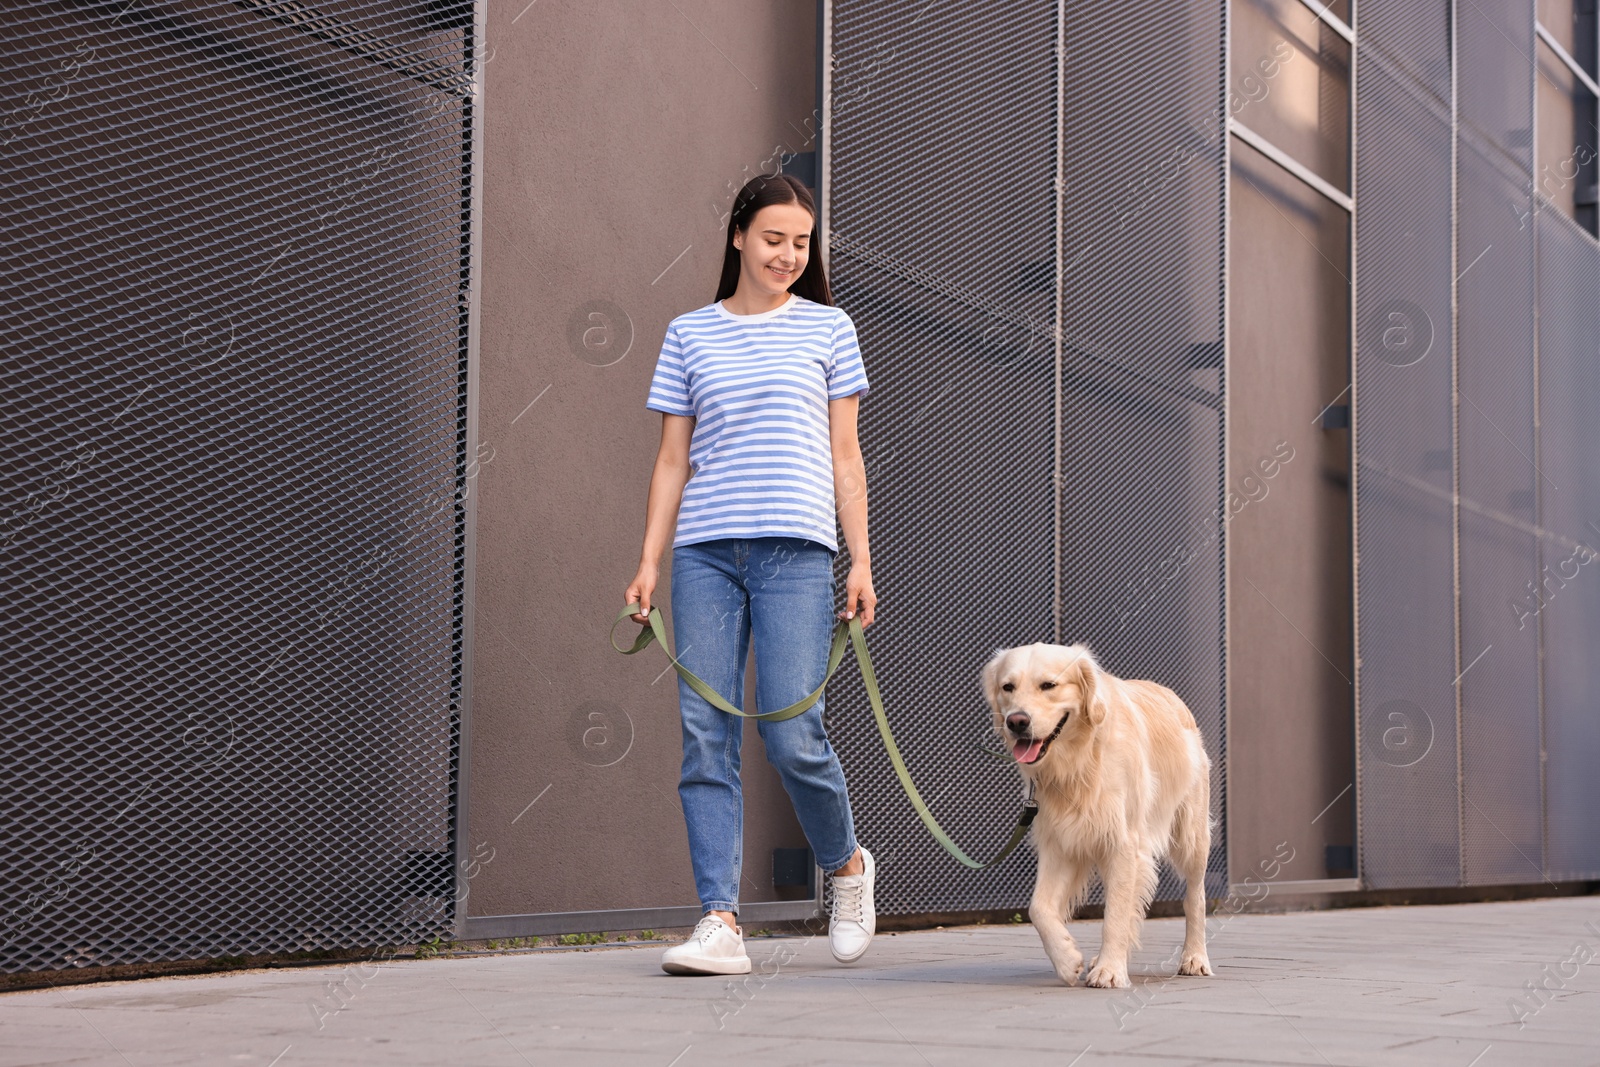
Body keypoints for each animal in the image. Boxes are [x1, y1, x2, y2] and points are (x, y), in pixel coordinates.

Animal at [972, 643, 1209, 985]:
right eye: (1008, 687)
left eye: (1048, 685)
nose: (1017, 721)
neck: (1077, 762)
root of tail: (1170, 694)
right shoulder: (1060, 842)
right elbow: (1038, 908)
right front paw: (1068, 959)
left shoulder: (1124, 843)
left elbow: (1116, 914)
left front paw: (1109, 971)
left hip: (1191, 836)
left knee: (1195, 897)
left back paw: (1194, 957)